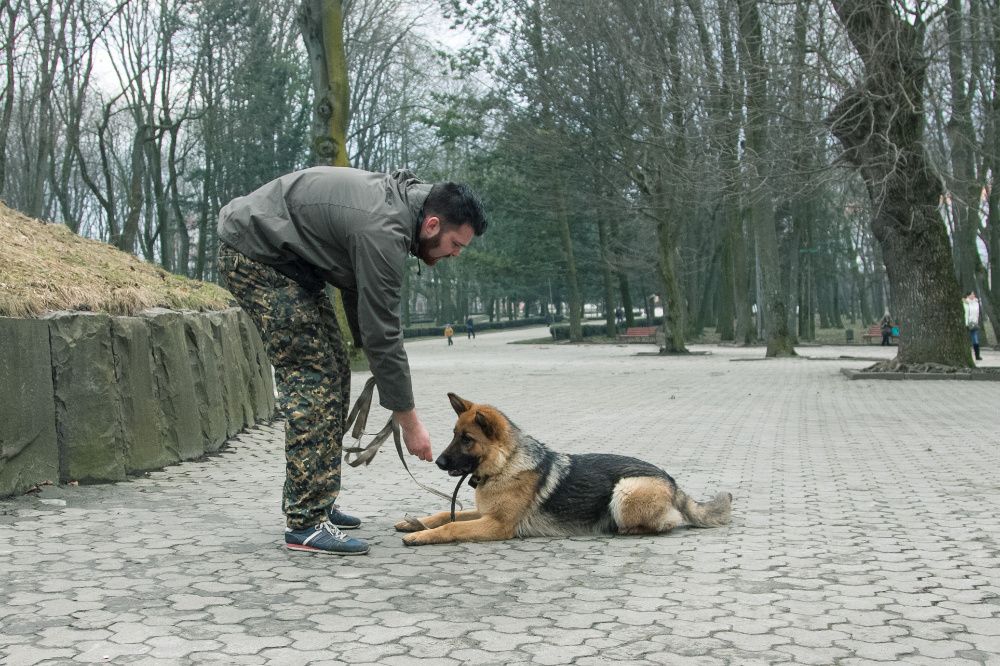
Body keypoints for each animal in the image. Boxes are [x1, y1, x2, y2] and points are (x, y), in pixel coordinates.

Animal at [394, 392, 732, 544]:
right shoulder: (485, 513)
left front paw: (421, 535)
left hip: (624, 491)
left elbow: (452, 526)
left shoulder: (496, 525)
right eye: (454, 435)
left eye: (466, 440)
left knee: (668, 521)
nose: (437, 461)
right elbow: (443, 514)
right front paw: (417, 523)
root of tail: (672, 482)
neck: (505, 464)